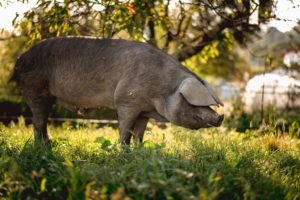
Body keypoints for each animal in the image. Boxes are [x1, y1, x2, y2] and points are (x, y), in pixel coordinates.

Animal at [9, 36, 224, 145]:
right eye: (193, 102)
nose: (220, 117)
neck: (160, 91)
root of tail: (18, 60)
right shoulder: (126, 101)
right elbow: (125, 132)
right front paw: (124, 153)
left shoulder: (144, 112)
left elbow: (139, 136)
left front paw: (139, 153)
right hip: (35, 87)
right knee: (38, 121)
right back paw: (44, 148)